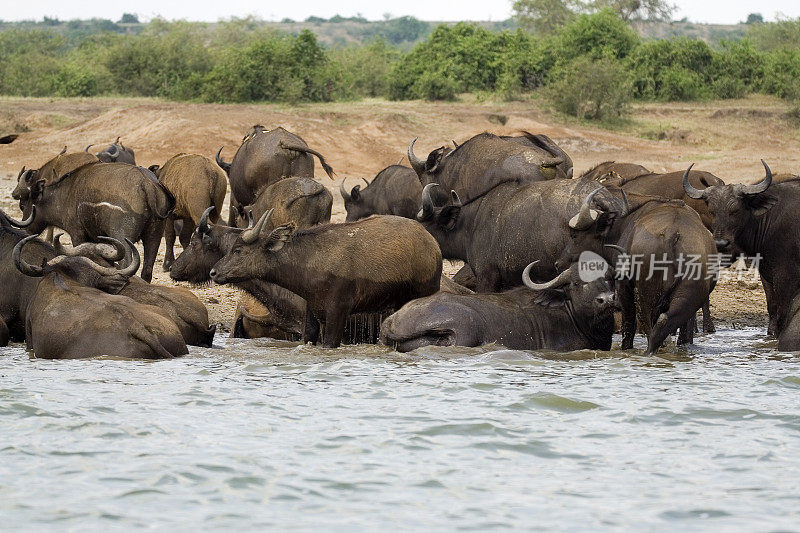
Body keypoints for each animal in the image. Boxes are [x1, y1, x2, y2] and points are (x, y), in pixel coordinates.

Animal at [19, 162, 175, 282]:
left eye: (24, 204)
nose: (25, 229)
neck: (66, 193)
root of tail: (147, 184)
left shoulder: (78, 234)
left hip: (123, 238)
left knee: (127, 264)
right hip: (153, 237)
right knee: (147, 270)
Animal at [209, 212, 440, 350]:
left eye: (238, 250)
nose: (213, 272)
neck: (312, 260)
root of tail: (433, 245)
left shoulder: (338, 311)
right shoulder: (313, 308)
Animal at [556, 187, 720, 354]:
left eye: (574, 235)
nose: (558, 263)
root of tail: (672, 234)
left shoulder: (623, 287)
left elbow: (628, 324)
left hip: (645, 295)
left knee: (649, 325)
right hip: (689, 294)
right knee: (667, 322)